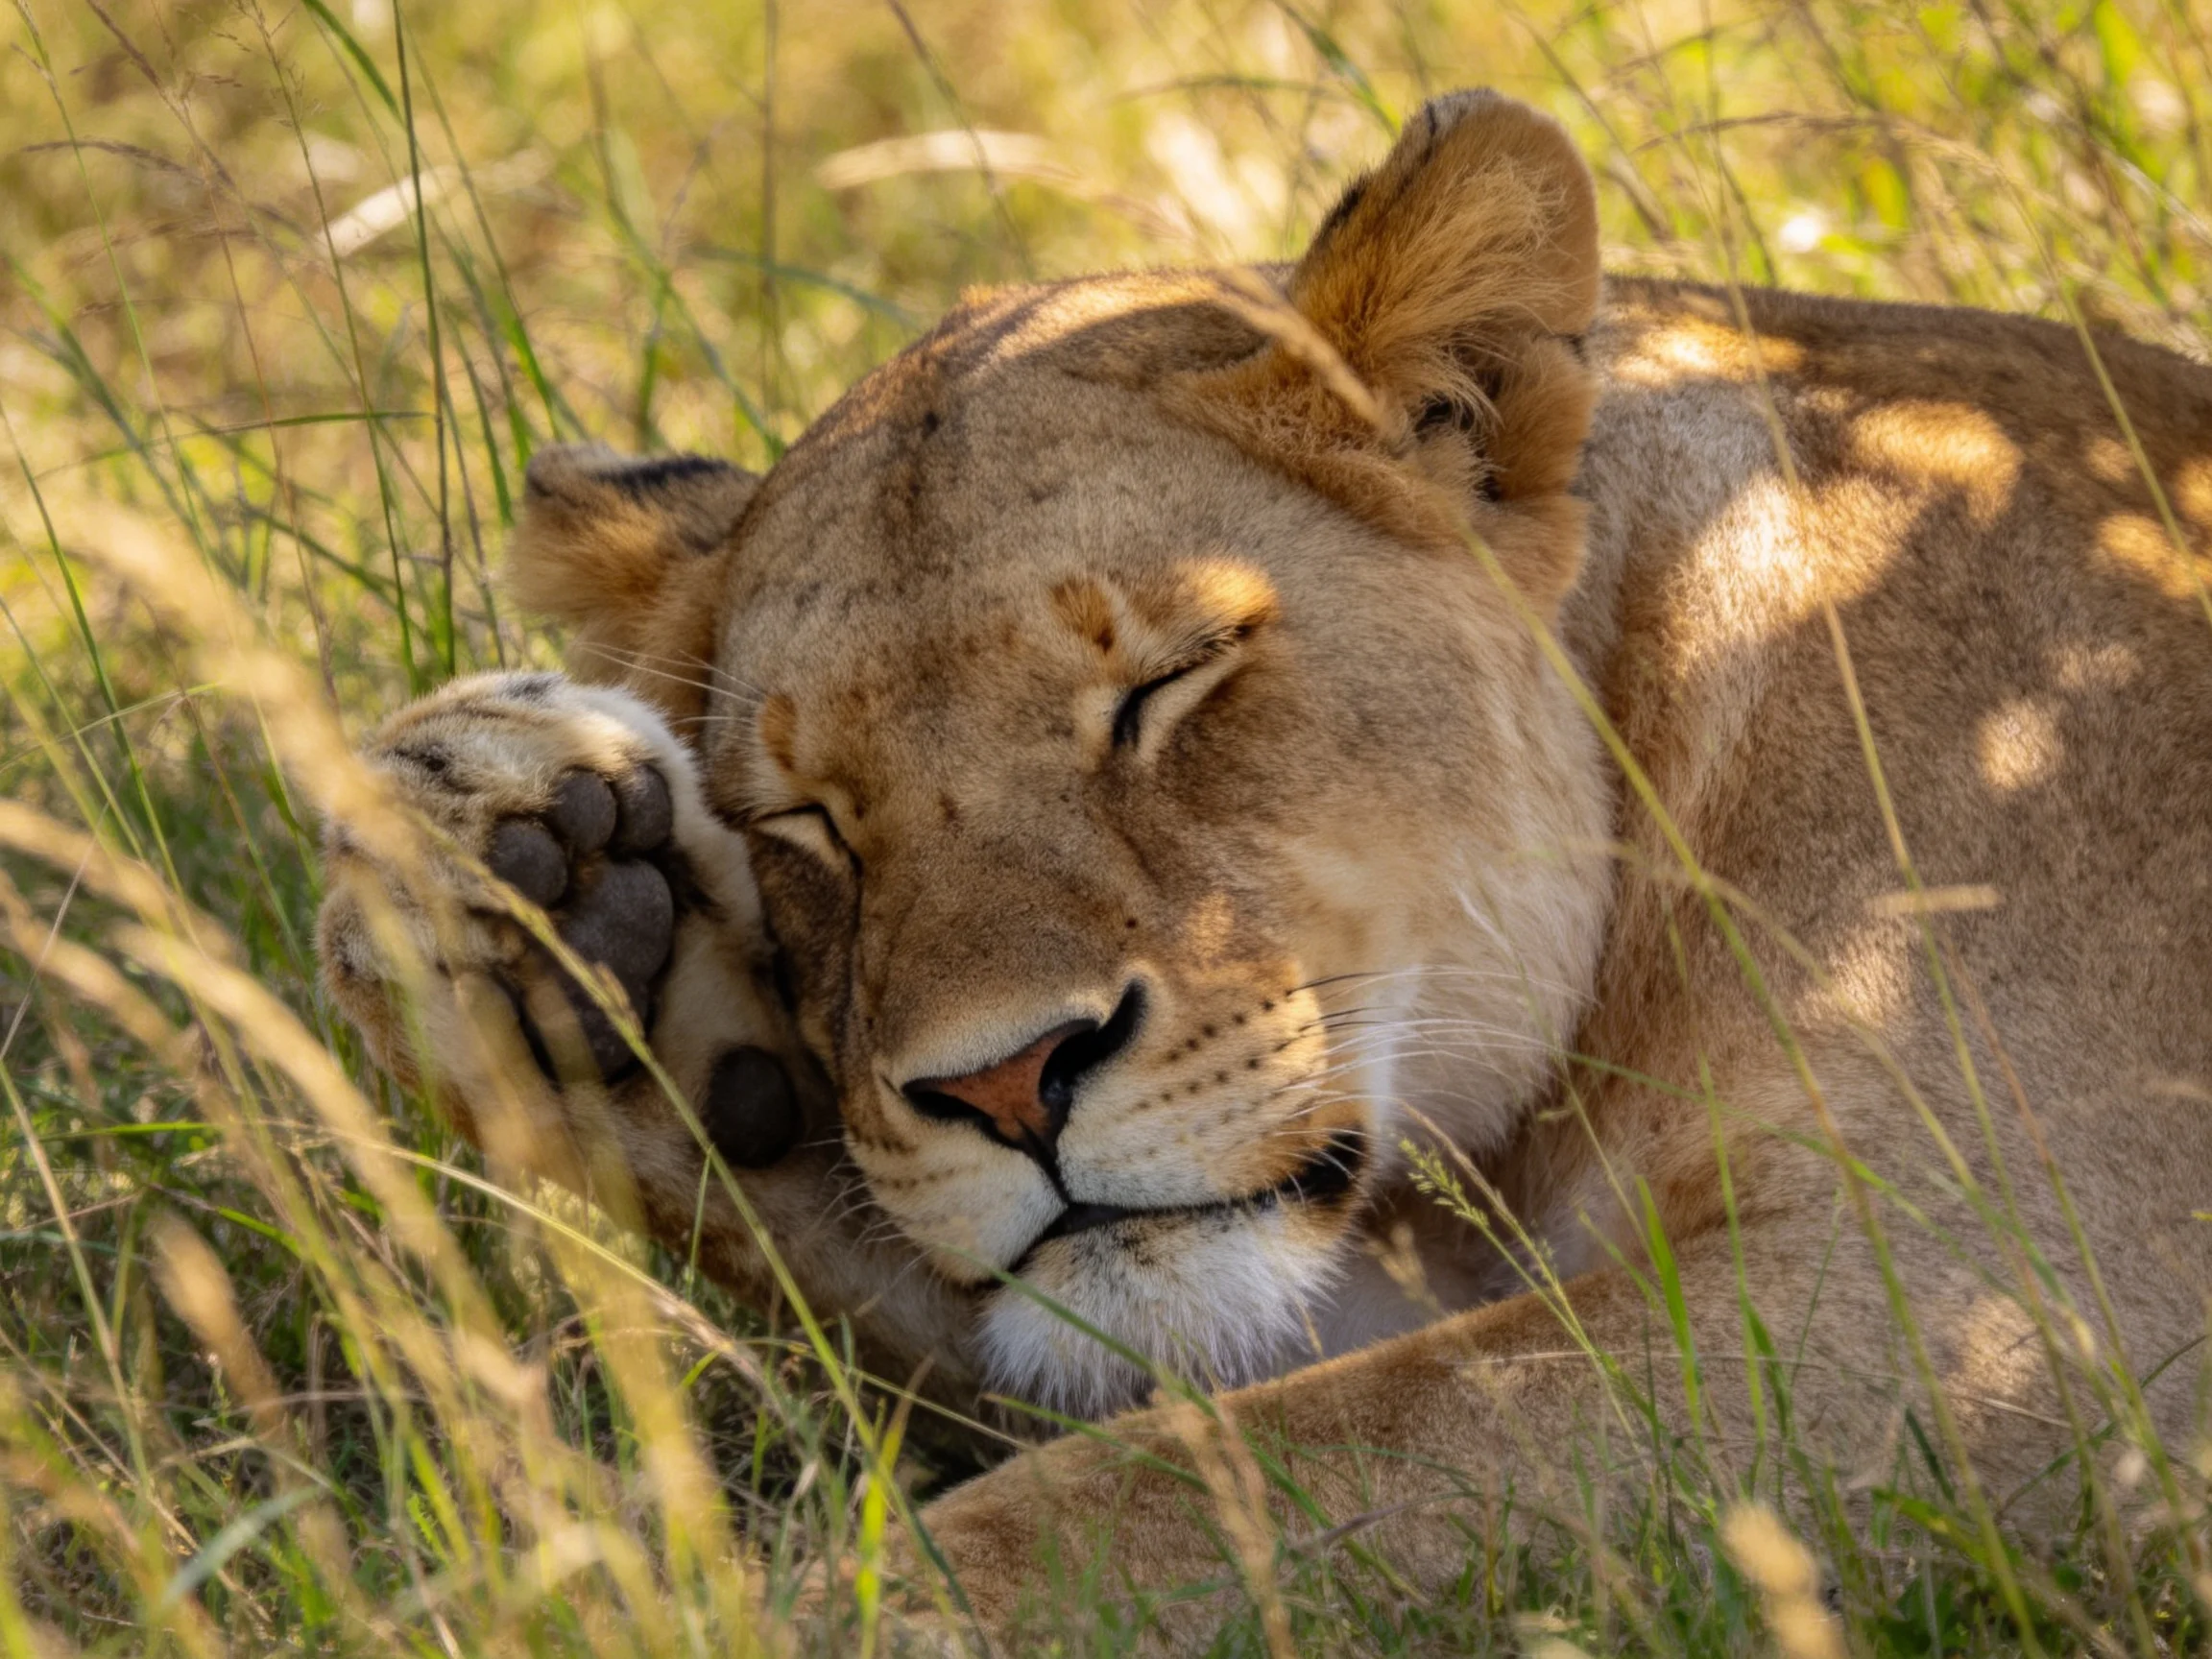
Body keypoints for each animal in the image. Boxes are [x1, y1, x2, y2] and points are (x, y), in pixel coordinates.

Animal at [319, 89, 2212, 1644]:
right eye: (806, 820)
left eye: (1168, 683)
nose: (1007, 1082)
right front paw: (502, 882)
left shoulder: (2002, 1305)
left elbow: (1154, 1503)